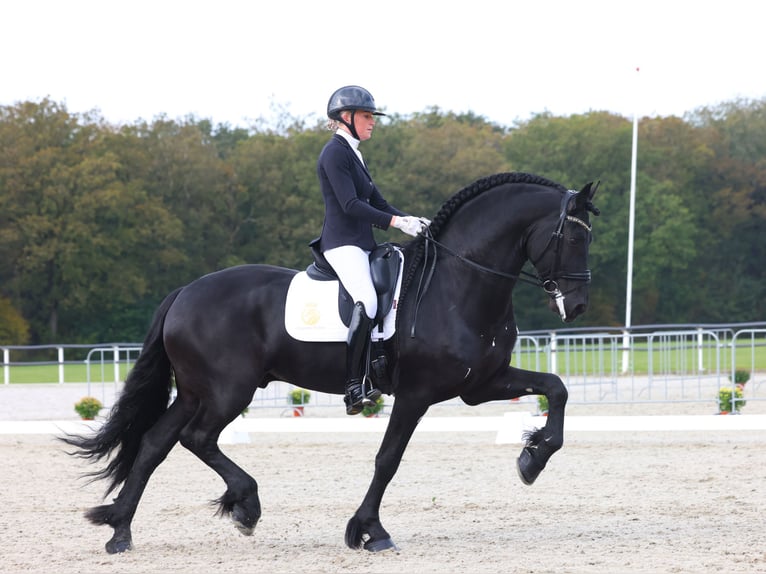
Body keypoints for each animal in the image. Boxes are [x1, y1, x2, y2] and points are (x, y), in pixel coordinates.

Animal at [63, 171, 600, 552]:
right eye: (575, 239)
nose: (577, 307)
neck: (458, 283)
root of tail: (184, 293)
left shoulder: (480, 383)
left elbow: (556, 387)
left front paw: (532, 457)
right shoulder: (418, 393)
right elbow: (388, 459)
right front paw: (368, 531)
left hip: (197, 390)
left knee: (155, 443)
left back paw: (120, 531)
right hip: (227, 391)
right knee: (197, 438)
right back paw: (245, 505)